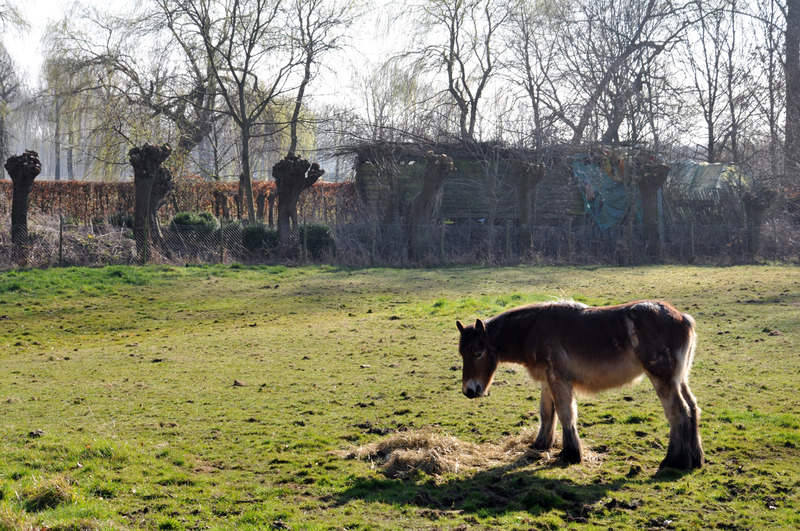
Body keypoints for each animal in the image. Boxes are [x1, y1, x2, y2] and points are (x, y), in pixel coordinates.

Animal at [456, 300, 704, 470]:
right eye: (462, 354)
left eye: (478, 353)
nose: (469, 391)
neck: (534, 329)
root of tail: (683, 318)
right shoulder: (547, 381)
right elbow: (547, 413)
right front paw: (541, 444)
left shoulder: (559, 380)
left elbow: (566, 414)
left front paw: (571, 454)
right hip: (679, 380)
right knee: (692, 408)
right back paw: (695, 459)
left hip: (663, 380)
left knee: (678, 413)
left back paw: (674, 461)